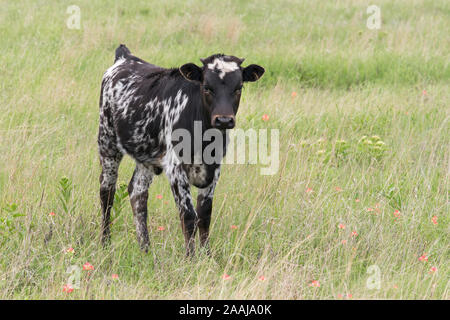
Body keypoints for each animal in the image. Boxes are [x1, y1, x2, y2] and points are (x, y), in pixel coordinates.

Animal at [97, 44, 264, 255]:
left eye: (238, 88)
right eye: (206, 87)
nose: (224, 120)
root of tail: (125, 58)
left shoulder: (215, 168)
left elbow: (205, 215)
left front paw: (207, 255)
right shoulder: (175, 167)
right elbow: (188, 215)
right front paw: (190, 257)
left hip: (146, 157)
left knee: (137, 193)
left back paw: (145, 250)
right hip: (107, 144)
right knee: (107, 192)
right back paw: (105, 243)